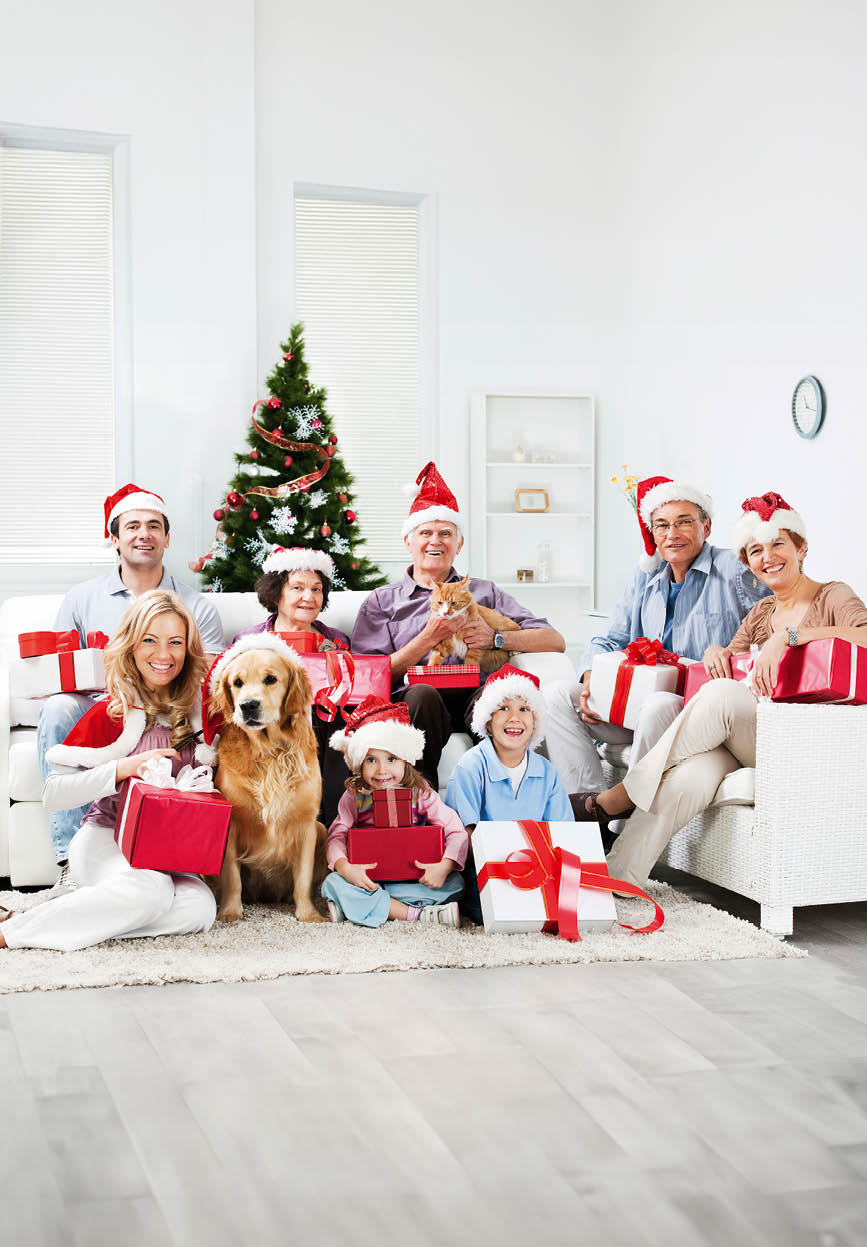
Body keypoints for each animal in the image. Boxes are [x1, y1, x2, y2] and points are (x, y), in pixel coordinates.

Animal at [210, 648, 329, 922]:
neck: (269, 753)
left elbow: (303, 879)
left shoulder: (307, 825)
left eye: (271, 679)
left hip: (322, 830)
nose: (247, 705)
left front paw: (309, 915)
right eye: (237, 682)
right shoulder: (231, 825)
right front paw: (230, 913)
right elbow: (232, 877)